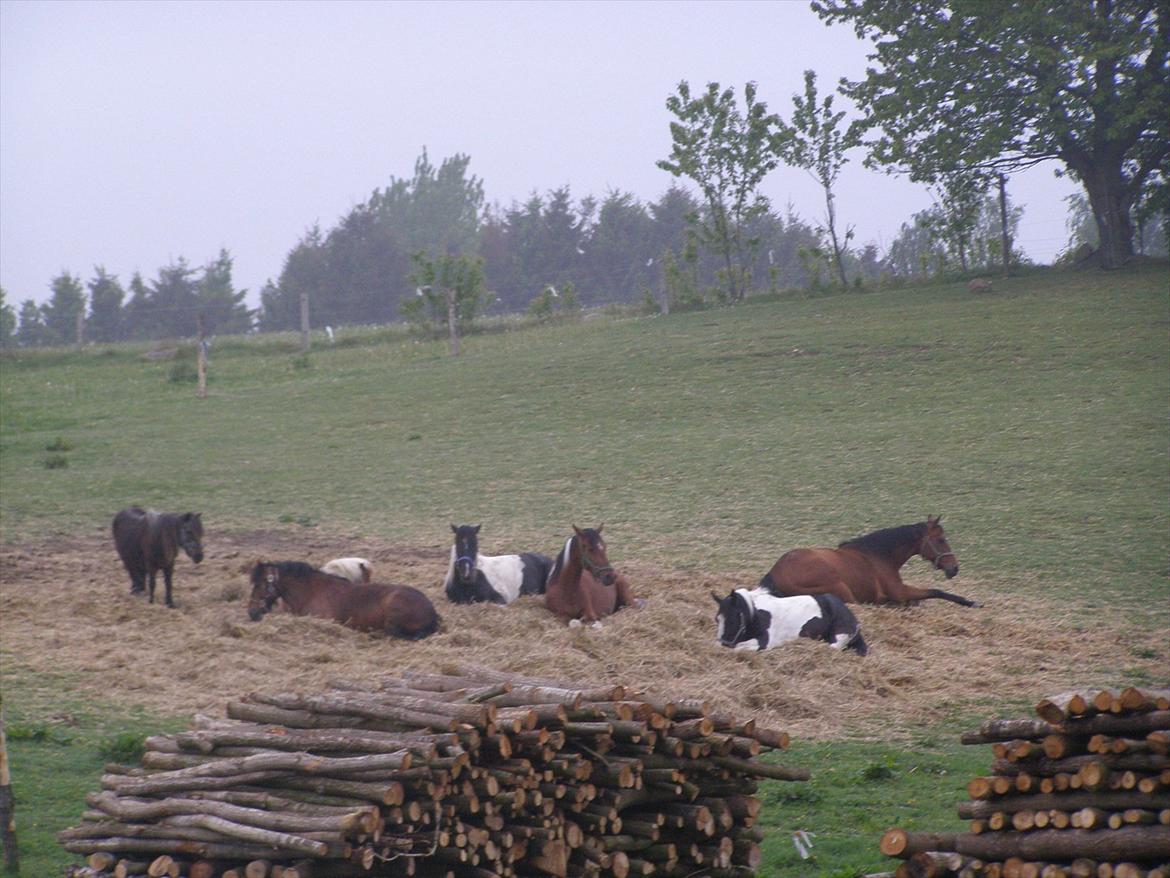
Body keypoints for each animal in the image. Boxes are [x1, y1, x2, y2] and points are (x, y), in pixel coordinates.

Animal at [711, 587, 870, 655]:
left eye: (732, 619)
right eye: (717, 619)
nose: (725, 643)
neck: (756, 615)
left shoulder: (763, 641)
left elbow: (740, 648)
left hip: (839, 636)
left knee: (834, 647)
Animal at [758, 515, 978, 604]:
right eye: (941, 540)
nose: (954, 568)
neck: (879, 556)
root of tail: (776, 573)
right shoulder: (900, 592)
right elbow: (936, 591)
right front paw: (970, 602)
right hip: (840, 587)